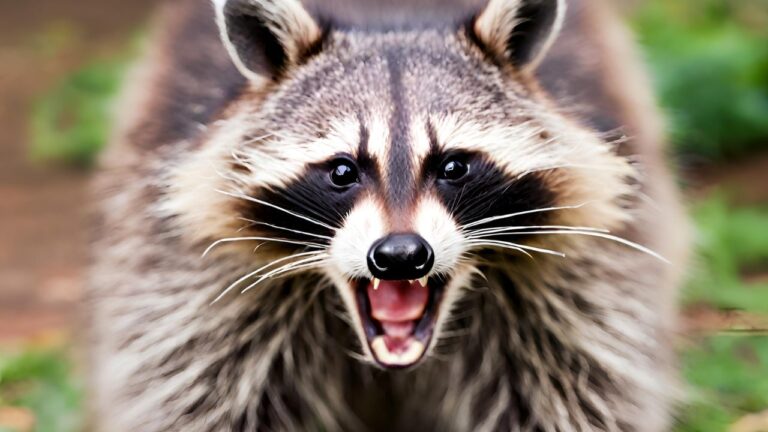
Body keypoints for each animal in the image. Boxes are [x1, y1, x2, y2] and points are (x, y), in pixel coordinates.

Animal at [87, 0, 689, 430]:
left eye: (453, 166)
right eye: (342, 171)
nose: (401, 256)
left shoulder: (570, 295)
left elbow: (576, 393)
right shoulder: (202, 295)